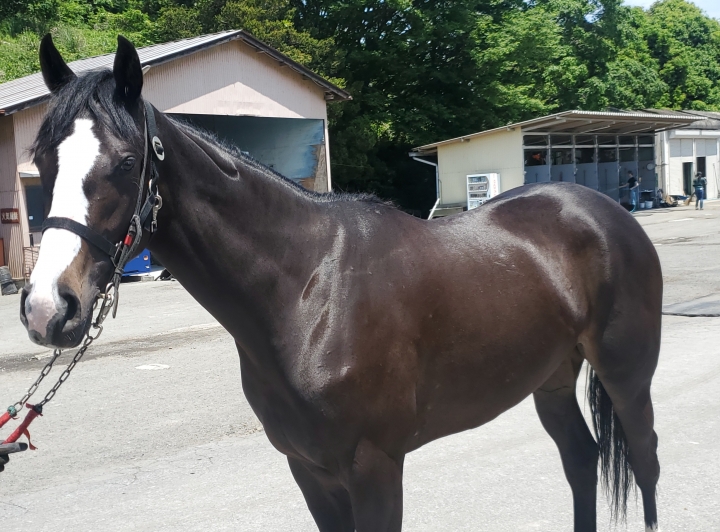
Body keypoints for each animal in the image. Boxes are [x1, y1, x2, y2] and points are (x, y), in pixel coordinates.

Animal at [19, 35, 661, 531]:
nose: (48, 309)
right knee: (580, 459)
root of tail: (604, 210)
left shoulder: (374, 466)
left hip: (627, 376)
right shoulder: (310, 469)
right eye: (43, 163)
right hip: (551, 377)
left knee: (646, 462)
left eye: (127, 162)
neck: (306, 293)